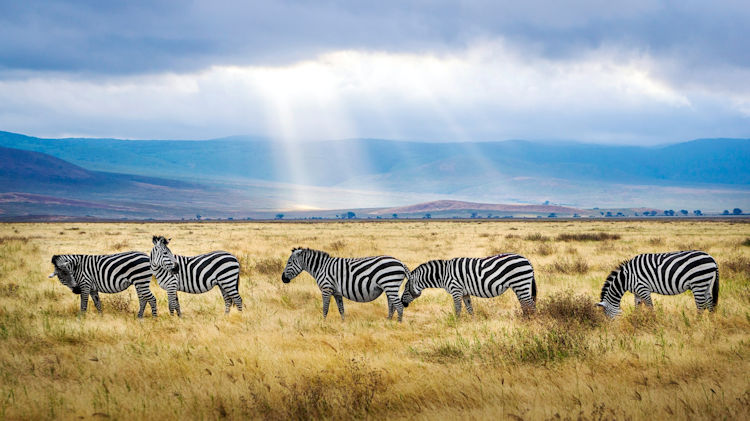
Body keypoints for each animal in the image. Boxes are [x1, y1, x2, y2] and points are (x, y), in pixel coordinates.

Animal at [282, 246, 412, 322]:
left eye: (289, 263)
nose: (283, 279)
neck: (321, 267)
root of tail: (400, 263)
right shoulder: (337, 292)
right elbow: (341, 309)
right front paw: (343, 323)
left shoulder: (326, 289)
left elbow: (325, 308)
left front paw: (323, 322)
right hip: (389, 287)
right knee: (392, 305)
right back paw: (388, 321)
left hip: (390, 284)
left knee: (399, 306)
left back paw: (398, 324)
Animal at [402, 253, 536, 316]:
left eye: (406, 289)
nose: (403, 303)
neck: (443, 274)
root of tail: (527, 260)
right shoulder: (464, 293)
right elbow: (469, 308)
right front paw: (473, 322)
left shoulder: (456, 290)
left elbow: (458, 308)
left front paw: (456, 323)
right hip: (520, 286)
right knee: (525, 304)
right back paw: (525, 319)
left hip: (520, 283)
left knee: (530, 304)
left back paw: (530, 322)